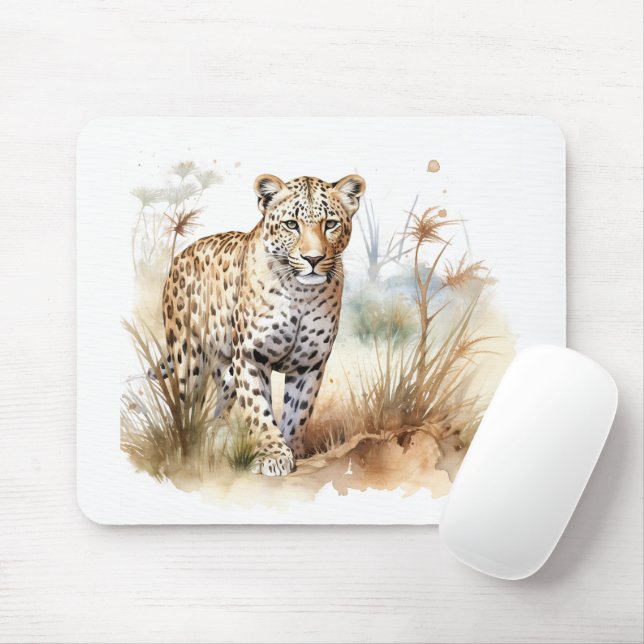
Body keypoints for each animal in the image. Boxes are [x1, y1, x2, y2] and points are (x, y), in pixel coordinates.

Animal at [161, 173, 366, 476]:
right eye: (291, 225)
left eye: (330, 224)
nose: (313, 259)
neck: (300, 293)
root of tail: (182, 254)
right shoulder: (251, 356)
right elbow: (259, 409)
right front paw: (273, 455)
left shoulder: (310, 363)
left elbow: (298, 412)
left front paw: (293, 450)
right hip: (188, 356)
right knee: (185, 403)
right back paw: (188, 445)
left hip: (226, 368)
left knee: (221, 402)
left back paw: (214, 433)